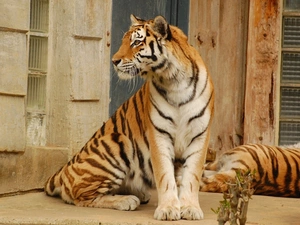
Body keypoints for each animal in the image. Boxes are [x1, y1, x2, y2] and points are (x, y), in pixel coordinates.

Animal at [44, 14, 214, 221]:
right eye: (124, 41)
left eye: (136, 42)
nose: (114, 61)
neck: (174, 80)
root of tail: (64, 169)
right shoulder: (159, 135)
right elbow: (165, 176)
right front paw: (167, 210)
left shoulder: (199, 135)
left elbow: (192, 176)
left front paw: (189, 208)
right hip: (117, 142)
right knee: (80, 196)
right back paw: (126, 200)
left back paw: (138, 194)